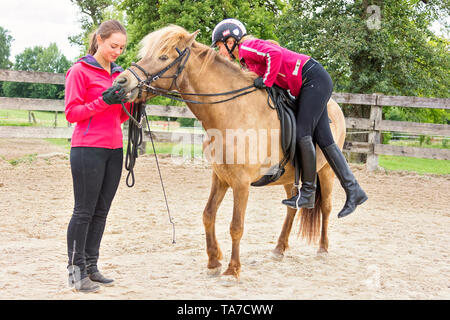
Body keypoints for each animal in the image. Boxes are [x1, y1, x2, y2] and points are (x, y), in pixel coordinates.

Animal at [114, 25, 346, 280]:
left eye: (163, 57)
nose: (122, 81)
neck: (231, 111)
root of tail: (335, 106)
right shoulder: (221, 177)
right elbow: (208, 215)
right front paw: (214, 260)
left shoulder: (241, 184)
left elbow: (236, 226)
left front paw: (233, 268)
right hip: (289, 177)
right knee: (291, 208)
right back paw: (279, 248)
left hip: (326, 171)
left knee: (326, 206)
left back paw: (323, 248)